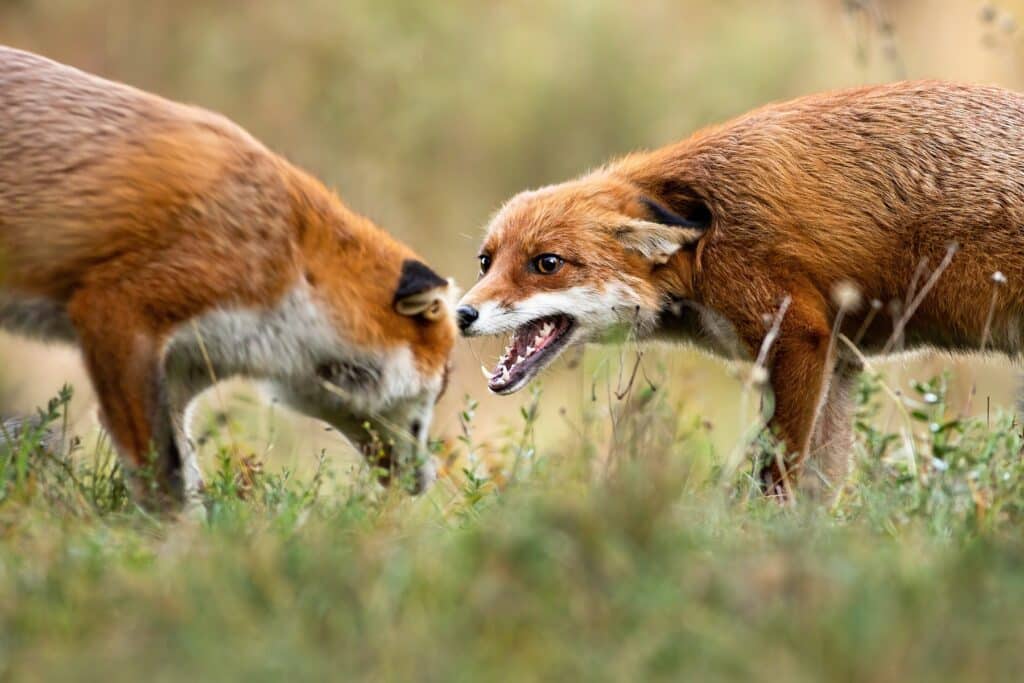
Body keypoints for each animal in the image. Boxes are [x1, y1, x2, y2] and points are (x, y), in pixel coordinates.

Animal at [0, 45, 456, 509]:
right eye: (443, 385)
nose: (424, 482)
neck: (292, 258)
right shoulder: (117, 312)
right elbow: (163, 478)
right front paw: (170, 530)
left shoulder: (181, 372)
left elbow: (186, 477)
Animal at [456, 81, 1024, 497]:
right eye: (486, 262)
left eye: (546, 264)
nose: (461, 314)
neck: (703, 247)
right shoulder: (840, 359)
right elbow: (822, 486)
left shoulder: (797, 337)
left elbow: (777, 477)